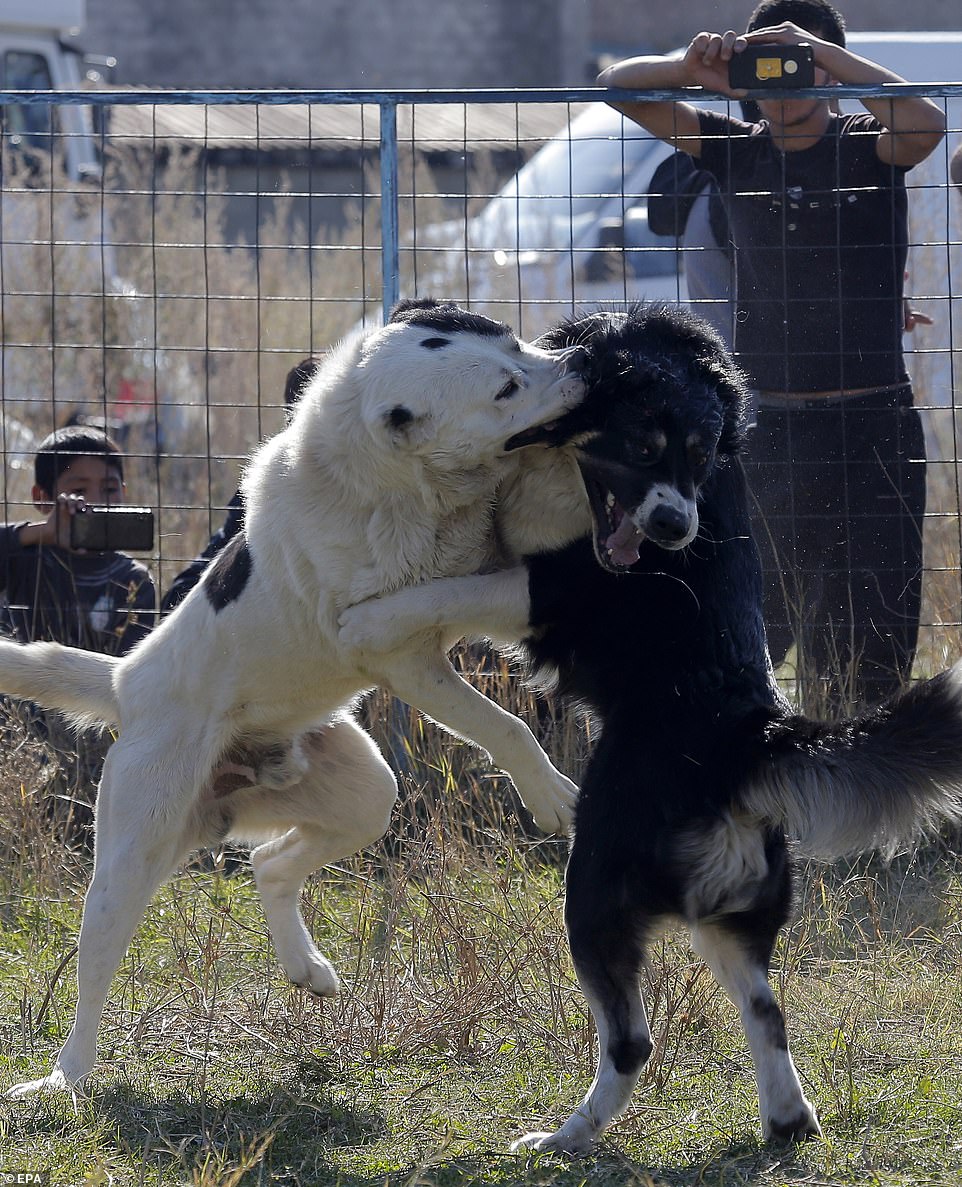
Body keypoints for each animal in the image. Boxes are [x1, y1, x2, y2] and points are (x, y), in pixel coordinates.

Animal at [1, 296, 577, 1092]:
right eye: (504, 390)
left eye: (518, 346)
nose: (582, 367)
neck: (396, 485)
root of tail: (128, 680)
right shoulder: (404, 657)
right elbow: (504, 725)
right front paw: (552, 796)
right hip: (131, 854)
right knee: (94, 970)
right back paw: (69, 1077)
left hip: (363, 792)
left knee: (270, 863)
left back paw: (307, 967)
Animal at [351, 303, 959, 1149]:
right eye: (644, 446)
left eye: (700, 458)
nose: (675, 529)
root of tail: (748, 737)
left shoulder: (560, 584)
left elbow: (443, 593)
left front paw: (371, 615)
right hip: (729, 918)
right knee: (767, 1010)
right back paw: (786, 1120)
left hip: (595, 891)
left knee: (631, 1041)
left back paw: (564, 1137)